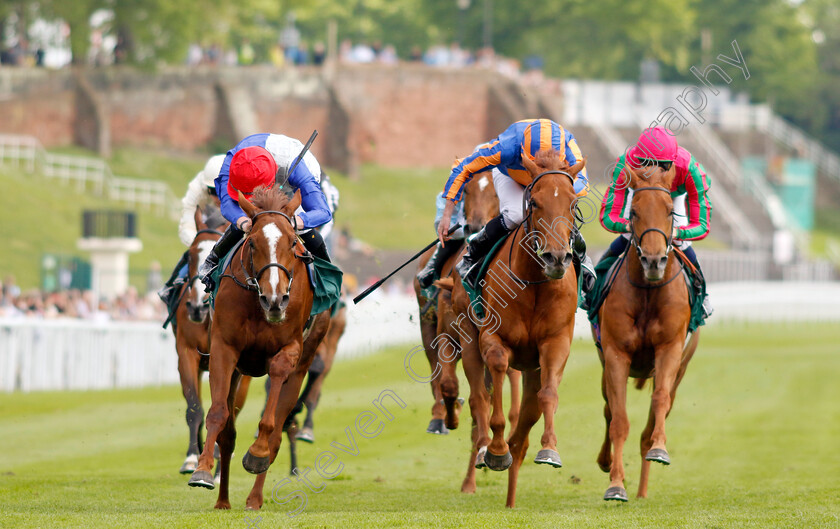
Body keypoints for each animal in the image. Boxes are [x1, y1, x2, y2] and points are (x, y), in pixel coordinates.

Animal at [188, 187, 332, 512]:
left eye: (293, 242)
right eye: (252, 242)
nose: (275, 299)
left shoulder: (291, 348)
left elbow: (272, 412)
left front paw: (257, 452)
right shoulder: (224, 348)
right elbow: (218, 414)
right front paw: (202, 470)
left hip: (305, 361)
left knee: (278, 433)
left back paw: (254, 496)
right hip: (238, 372)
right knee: (228, 435)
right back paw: (223, 500)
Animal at [440, 151, 584, 506]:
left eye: (573, 202)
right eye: (535, 202)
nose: (557, 258)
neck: (534, 282)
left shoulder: (555, 343)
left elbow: (548, 394)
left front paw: (550, 449)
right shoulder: (494, 339)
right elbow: (495, 393)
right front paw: (495, 450)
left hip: (531, 369)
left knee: (525, 425)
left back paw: (511, 491)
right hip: (468, 337)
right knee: (478, 400)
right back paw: (486, 453)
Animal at [592, 163, 700, 502]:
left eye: (670, 211)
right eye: (635, 212)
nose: (654, 261)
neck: (648, 293)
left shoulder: (670, 349)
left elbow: (660, 402)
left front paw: (660, 450)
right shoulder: (615, 354)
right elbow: (618, 419)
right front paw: (615, 483)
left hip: (682, 366)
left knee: (653, 420)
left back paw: (642, 486)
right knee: (608, 409)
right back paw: (610, 465)